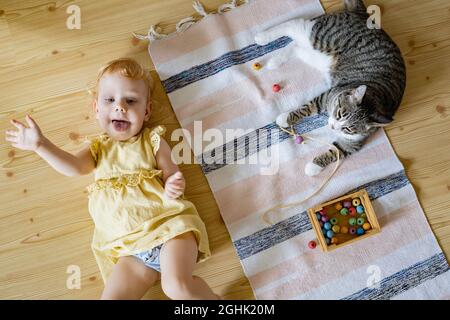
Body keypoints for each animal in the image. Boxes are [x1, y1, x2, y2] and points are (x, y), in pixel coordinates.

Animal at [255, 0, 406, 176]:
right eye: (340, 113)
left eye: (348, 129)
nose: (333, 126)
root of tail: (363, 15)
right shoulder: (327, 95)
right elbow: (306, 108)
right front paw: (285, 118)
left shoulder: (354, 143)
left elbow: (337, 151)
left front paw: (313, 167)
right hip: (323, 36)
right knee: (296, 24)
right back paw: (262, 37)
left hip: (318, 56)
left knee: (297, 47)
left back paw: (275, 61)